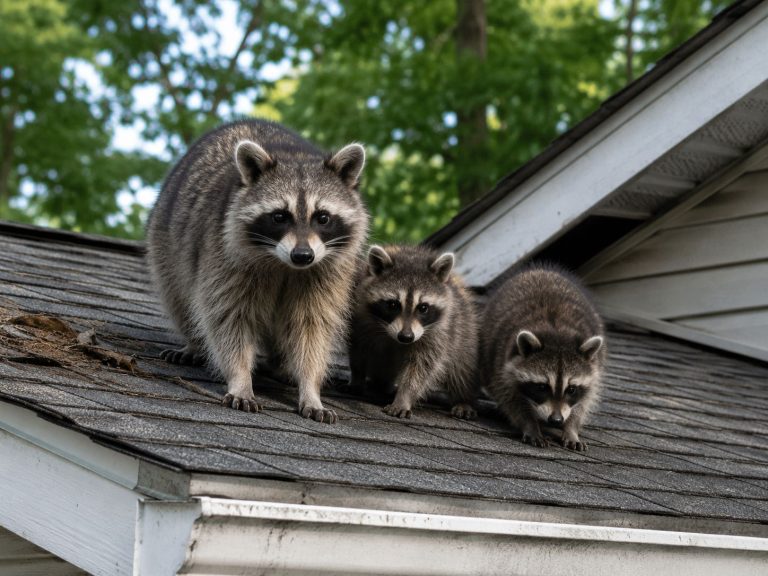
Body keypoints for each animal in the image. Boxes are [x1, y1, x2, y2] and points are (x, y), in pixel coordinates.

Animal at [147, 119, 369, 423]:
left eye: (322, 217)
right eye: (279, 216)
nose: (303, 255)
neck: (285, 264)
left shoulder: (326, 272)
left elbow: (312, 326)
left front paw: (310, 387)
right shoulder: (223, 254)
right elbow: (229, 318)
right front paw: (240, 378)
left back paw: (282, 365)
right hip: (167, 243)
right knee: (178, 296)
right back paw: (193, 343)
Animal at [349, 244, 479, 419]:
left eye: (423, 308)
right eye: (393, 305)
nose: (406, 337)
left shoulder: (438, 333)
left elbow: (420, 367)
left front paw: (404, 398)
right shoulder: (360, 318)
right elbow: (359, 350)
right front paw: (358, 377)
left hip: (463, 330)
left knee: (462, 368)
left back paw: (464, 398)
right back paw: (380, 384)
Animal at [481, 264, 606, 450]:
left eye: (571, 389)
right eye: (541, 387)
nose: (556, 420)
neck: (557, 331)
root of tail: (541, 270)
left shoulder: (594, 369)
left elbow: (584, 402)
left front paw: (571, 428)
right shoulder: (502, 366)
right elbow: (511, 399)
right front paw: (530, 425)